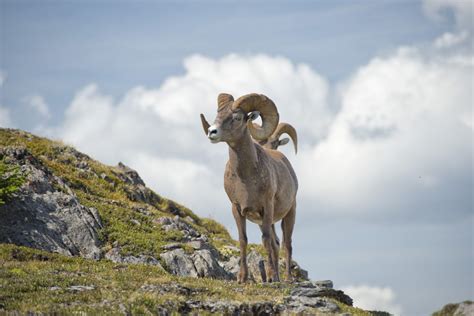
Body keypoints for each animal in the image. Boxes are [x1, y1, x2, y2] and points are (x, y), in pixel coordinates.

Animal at [201, 92, 298, 282]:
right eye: (218, 114)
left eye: (237, 117)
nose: (212, 132)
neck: (246, 178)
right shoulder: (237, 209)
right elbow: (243, 240)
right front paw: (242, 278)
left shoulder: (266, 207)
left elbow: (266, 240)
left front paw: (270, 278)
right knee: (276, 244)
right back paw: (277, 276)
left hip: (289, 213)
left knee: (287, 244)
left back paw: (286, 279)